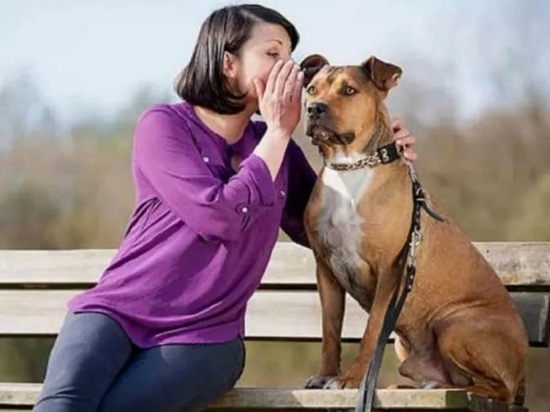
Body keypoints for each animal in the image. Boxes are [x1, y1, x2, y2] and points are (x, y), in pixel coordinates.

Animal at [302, 52, 532, 406]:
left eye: (349, 90)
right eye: (312, 89)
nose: (314, 109)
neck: (350, 167)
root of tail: (522, 373)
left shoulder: (389, 271)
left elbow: (371, 332)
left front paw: (350, 380)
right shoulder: (326, 270)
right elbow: (330, 331)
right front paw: (325, 376)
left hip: (455, 326)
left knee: (496, 388)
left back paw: (463, 391)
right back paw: (414, 387)